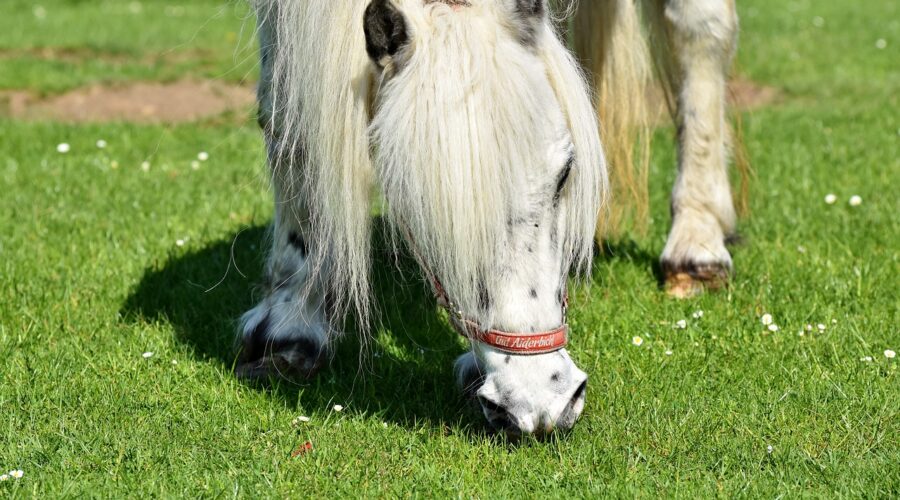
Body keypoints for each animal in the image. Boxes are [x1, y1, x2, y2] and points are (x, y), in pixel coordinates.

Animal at [238, 0, 740, 437]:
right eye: (417, 203)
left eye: (566, 173)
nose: (544, 403)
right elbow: (288, 120)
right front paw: (290, 323)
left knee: (701, 29)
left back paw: (697, 244)